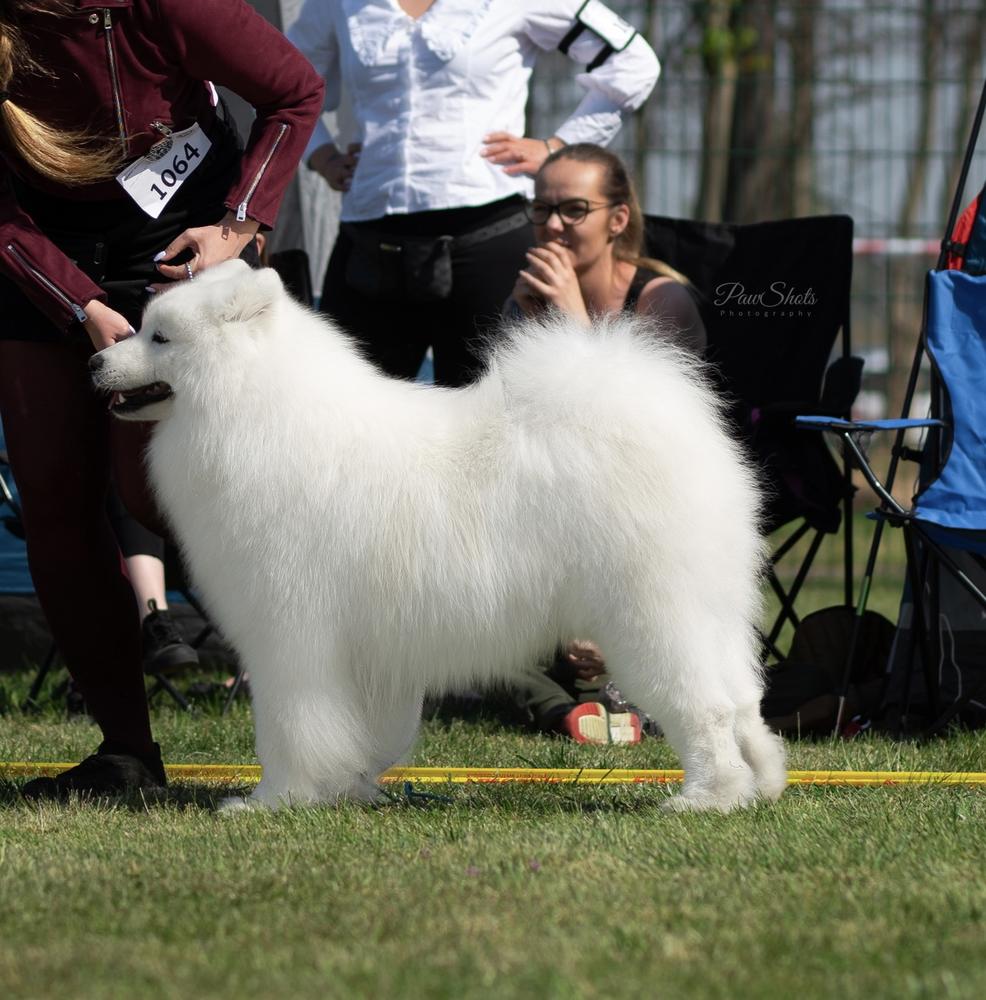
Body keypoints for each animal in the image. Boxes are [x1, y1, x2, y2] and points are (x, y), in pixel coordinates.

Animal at [92, 258, 784, 812]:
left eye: (159, 337)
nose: (96, 356)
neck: (256, 409)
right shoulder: (368, 653)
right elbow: (365, 731)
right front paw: (350, 788)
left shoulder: (289, 634)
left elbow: (290, 728)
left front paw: (273, 801)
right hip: (713, 609)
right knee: (745, 700)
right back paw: (765, 781)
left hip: (651, 617)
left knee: (707, 707)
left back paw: (708, 798)